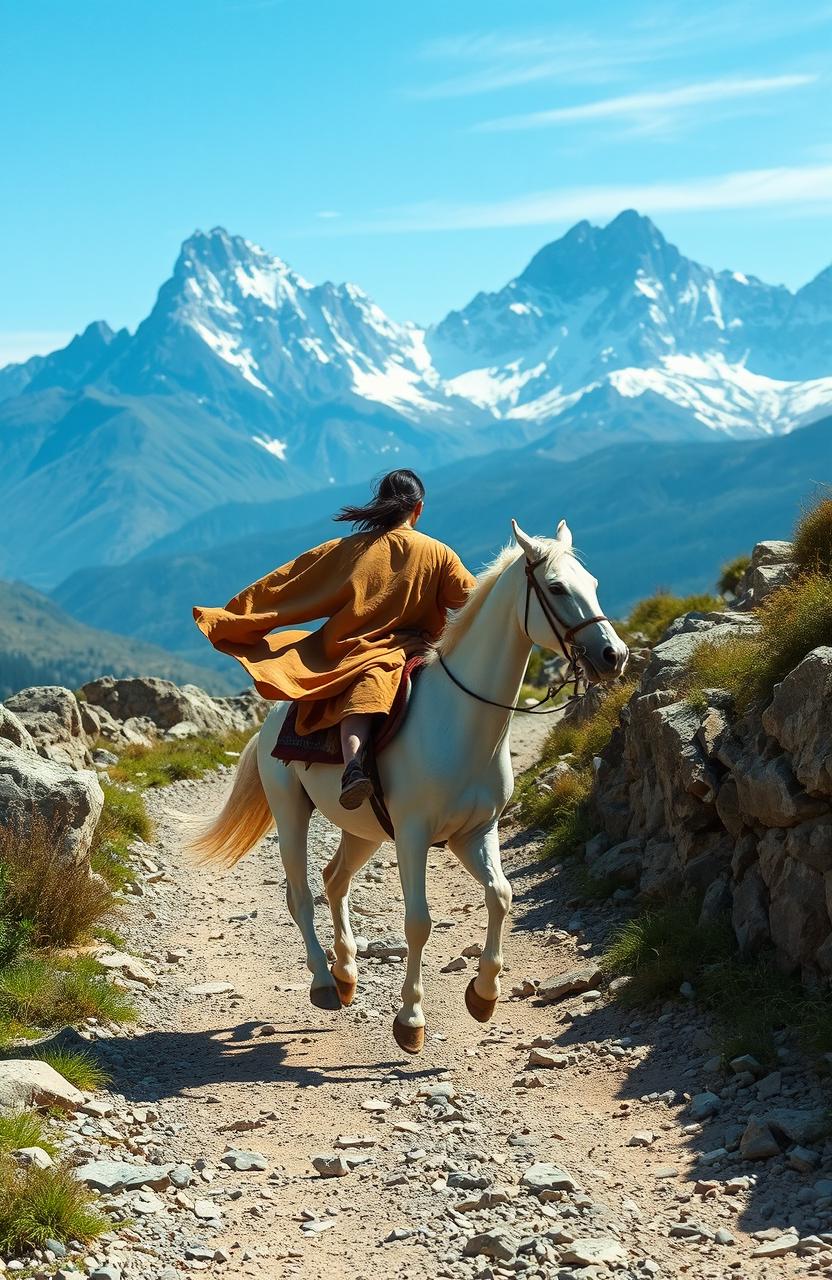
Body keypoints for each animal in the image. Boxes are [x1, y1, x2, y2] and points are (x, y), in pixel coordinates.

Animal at [189, 514, 629, 1054]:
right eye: (557, 587)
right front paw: (411, 1018)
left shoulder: (474, 833)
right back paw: (323, 982)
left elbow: (501, 895)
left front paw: (484, 994)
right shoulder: (414, 836)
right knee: (301, 896)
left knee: (335, 880)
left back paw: (346, 973)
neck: (461, 721)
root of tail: (272, 719)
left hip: (363, 831)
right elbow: (418, 922)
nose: (613, 656)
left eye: (593, 584)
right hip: (291, 813)